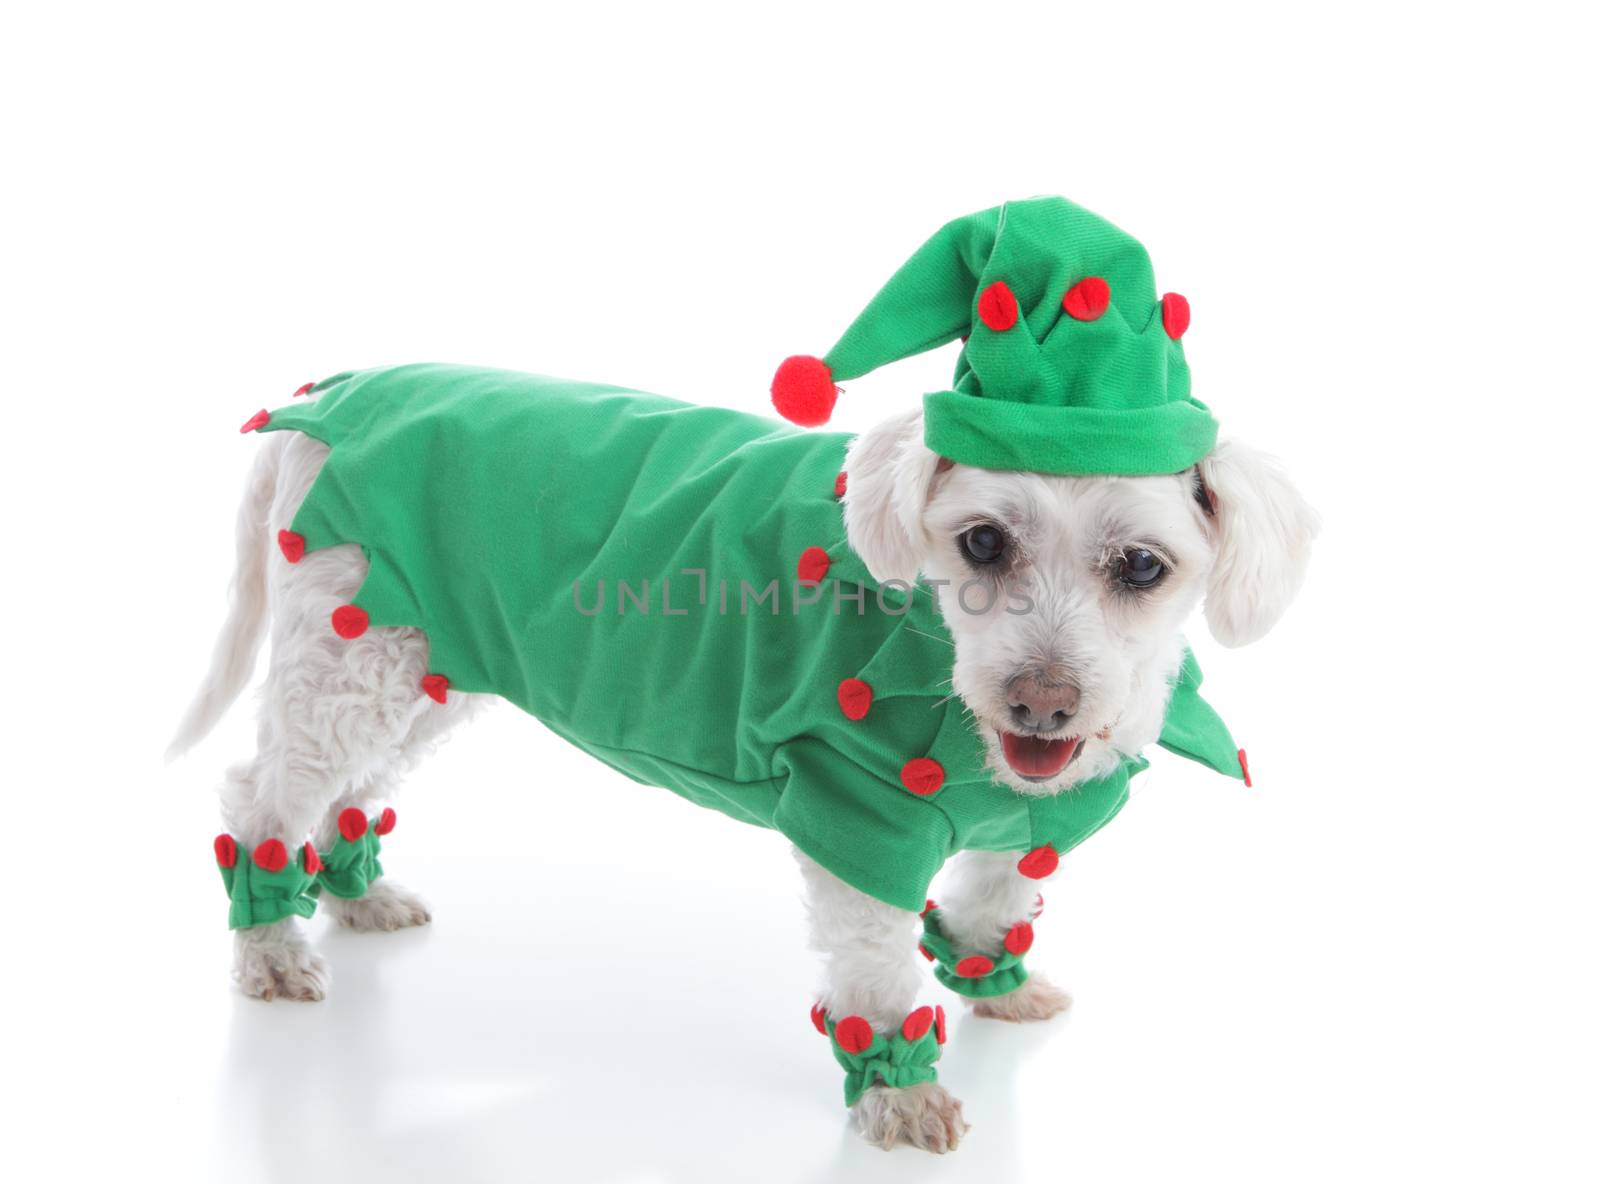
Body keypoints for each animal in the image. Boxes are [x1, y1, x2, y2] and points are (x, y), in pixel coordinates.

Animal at [175, 401, 1318, 1152]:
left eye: (1142, 566)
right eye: (983, 541)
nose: (1040, 702)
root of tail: (329, 405)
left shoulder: (1020, 824)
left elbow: (996, 895)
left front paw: (995, 978)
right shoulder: (861, 816)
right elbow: (875, 972)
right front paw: (897, 1093)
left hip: (430, 668)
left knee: (343, 788)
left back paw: (352, 894)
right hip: (352, 658)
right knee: (262, 793)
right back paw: (272, 944)